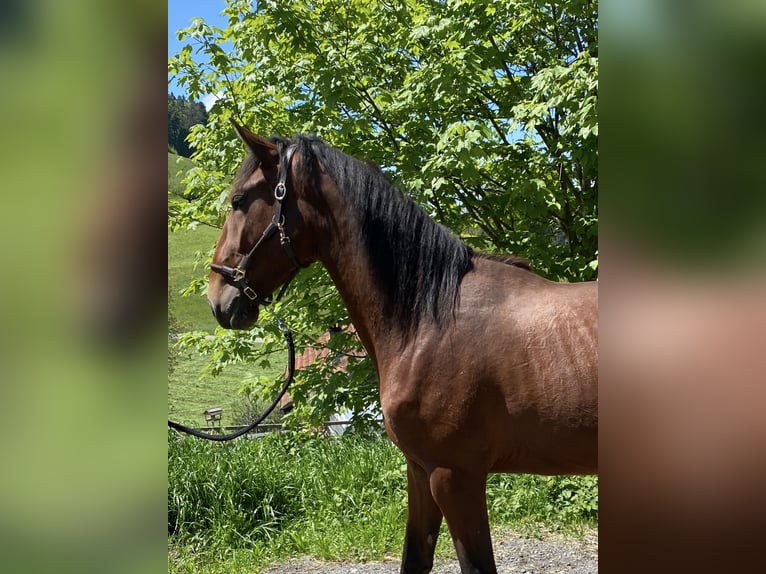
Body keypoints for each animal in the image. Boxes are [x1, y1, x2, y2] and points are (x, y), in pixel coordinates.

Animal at [206, 122, 600, 574]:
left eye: (238, 201)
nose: (217, 299)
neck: (429, 319)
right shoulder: (420, 471)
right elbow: (414, 558)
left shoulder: (454, 476)